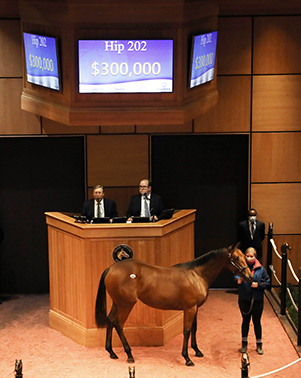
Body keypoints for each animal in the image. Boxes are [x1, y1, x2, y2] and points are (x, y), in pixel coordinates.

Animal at [95, 244, 252, 364]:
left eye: (245, 256)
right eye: (236, 258)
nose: (250, 276)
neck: (196, 275)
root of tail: (111, 268)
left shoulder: (195, 308)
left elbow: (194, 328)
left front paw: (197, 351)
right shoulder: (189, 308)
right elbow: (187, 330)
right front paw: (187, 358)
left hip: (118, 303)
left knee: (110, 320)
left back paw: (111, 352)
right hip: (126, 305)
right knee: (118, 323)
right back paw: (129, 354)